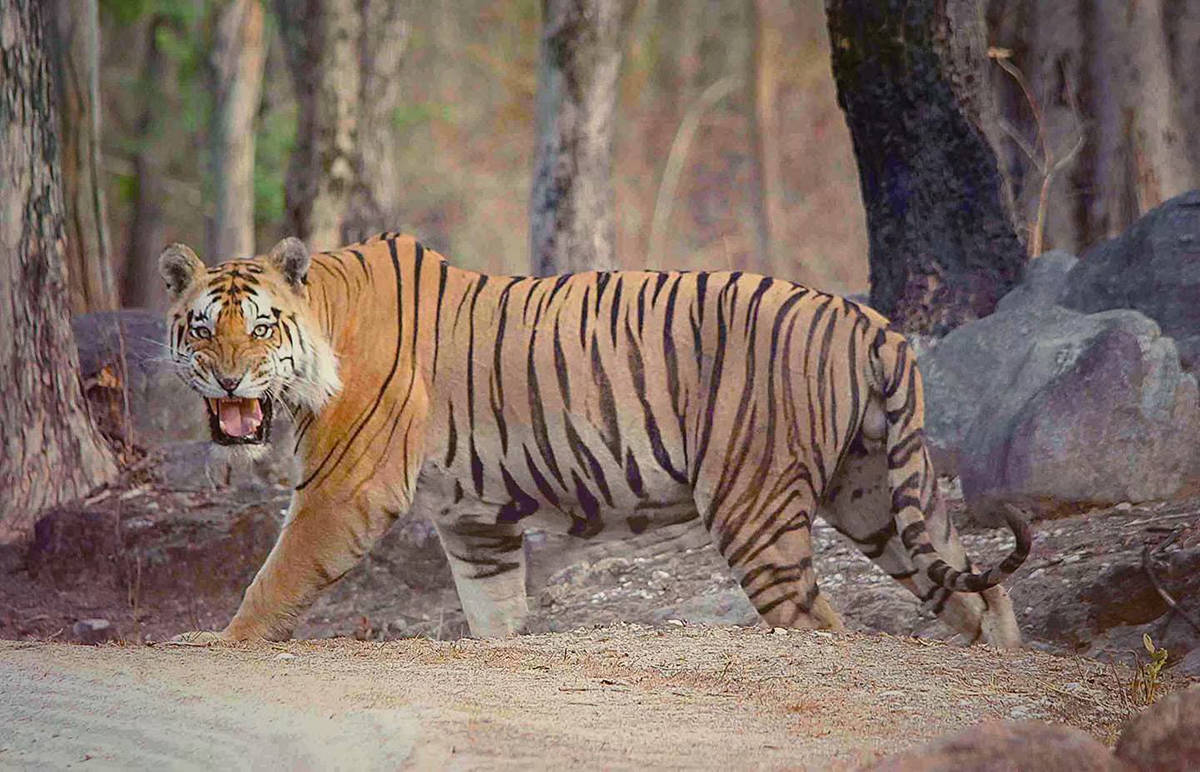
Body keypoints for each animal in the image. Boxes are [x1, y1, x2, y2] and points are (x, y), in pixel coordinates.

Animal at [159, 233, 1030, 648]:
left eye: (260, 328)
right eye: (202, 329)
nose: (230, 381)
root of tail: (870, 319)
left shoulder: (346, 488)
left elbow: (275, 577)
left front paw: (222, 642)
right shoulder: (474, 521)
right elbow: (494, 616)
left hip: (758, 507)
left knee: (821, 624)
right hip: (875, 492)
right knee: (980, 595)